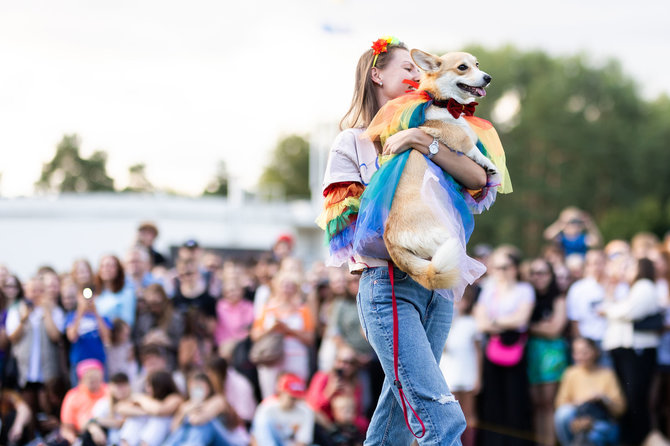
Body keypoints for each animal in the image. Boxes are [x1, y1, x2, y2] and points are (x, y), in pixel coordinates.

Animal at [384, 49, 498, 290]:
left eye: (477, 64)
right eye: (462, 67)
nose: (488, 77)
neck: (443, 103)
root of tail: (394, 244)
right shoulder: (457, 138)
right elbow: (472, 146)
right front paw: (489, 165)